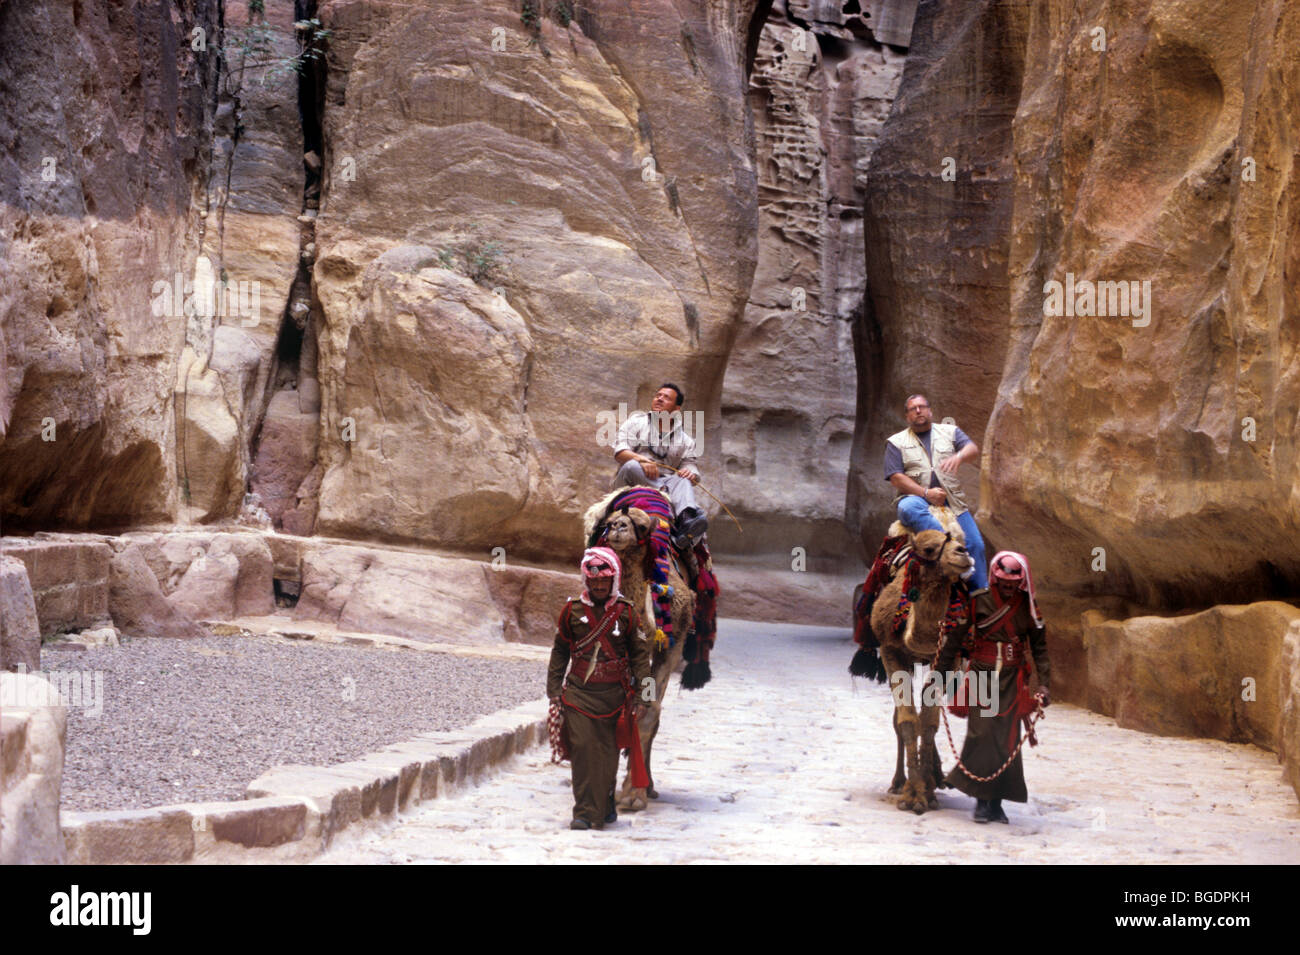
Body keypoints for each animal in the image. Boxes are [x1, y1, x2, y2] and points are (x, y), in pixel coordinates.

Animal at [587, 501, 696, 815]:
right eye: (609, 522)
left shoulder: (670, 646)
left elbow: (648, 713)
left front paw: (632, 794)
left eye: (643, 526)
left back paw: (648, 785)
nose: (618, 527)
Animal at [868, 530, 972, 815]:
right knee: (899, 717)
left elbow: (929, 721)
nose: (962, 553)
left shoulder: (947, 660)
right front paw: (912, 795)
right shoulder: (891, 651)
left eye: (960, 542)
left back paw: (935, 777)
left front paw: (927, 791)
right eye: (929, 549)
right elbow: (906, 720)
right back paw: (898, 782)